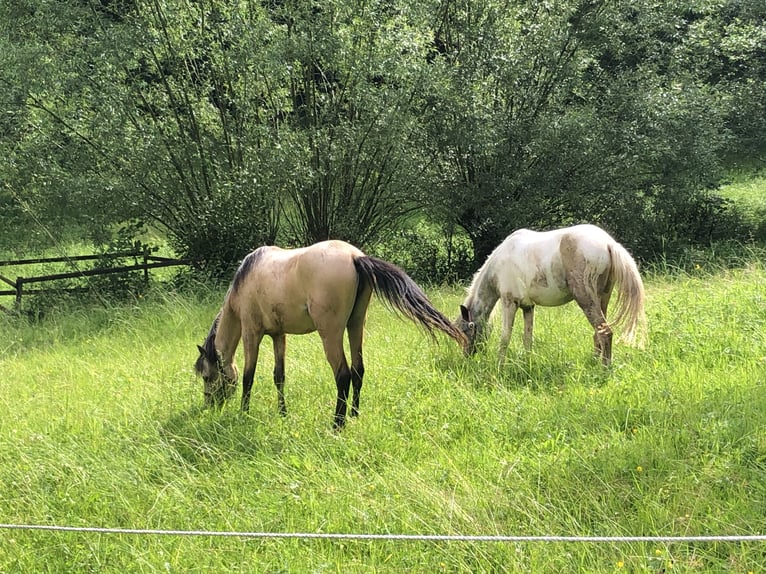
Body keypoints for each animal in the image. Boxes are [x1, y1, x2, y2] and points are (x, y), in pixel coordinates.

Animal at [195, 240, 464, 432]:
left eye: (207, 376)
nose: (208, 406)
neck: (245, 280)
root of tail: (355, 257)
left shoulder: (252, 333)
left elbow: (249, 376)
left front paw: (244, 413)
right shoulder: (279, 335)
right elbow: (279, 376)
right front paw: (282, 412)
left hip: (331, 334)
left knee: (343, 375)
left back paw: (338, 424)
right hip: (355, 325)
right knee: (358, 370)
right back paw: (354, 415)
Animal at [456, 223, 648, 366]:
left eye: (465, 331)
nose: (467, 357)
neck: (499, 264)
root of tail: (608, 243)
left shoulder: (509, 302)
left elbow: (505, 337)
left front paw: (499, 366)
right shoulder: (528, 307)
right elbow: (527, 338)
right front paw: (527, 364)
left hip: (586, 299)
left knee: (605, 333)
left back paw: (604, 369)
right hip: (603, 298)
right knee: (598, 333)